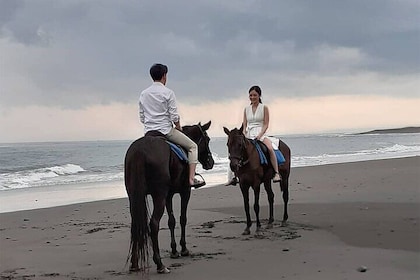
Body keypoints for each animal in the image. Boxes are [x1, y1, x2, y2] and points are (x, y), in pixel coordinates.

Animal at [124, 122, 215, 274]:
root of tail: (140, 151)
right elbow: (183, 219)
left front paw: (174, 250)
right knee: (153, 224)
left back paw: (135, 264)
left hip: (135, 196)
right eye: (207, 140)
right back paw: (160, 264)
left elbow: (171, 221)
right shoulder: (185, 192)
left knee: (136, 225)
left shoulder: (169, 195)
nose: (211, 162)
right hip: (158, 196)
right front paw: (183, 249)